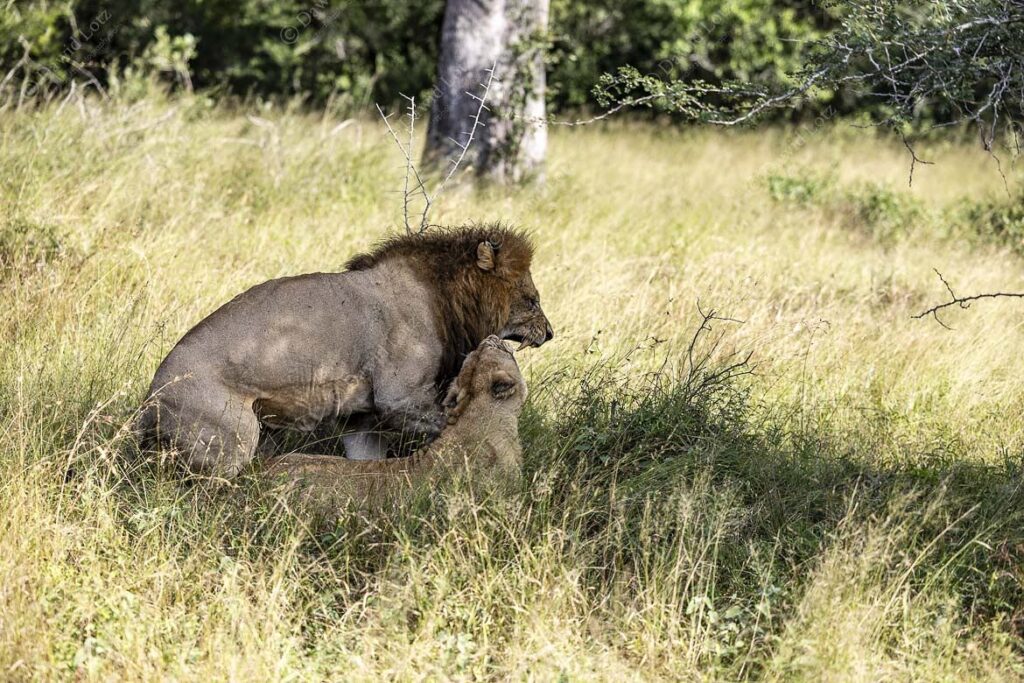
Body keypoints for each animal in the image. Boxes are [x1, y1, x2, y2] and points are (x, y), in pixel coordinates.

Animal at [138, 225, 552, 481]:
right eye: (532, 300)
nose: (549, 333)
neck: (446, 298)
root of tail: (151, 397)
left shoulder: (362, 418)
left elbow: (367, 462)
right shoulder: (397, 397)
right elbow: (445, 423)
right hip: (229, 438)